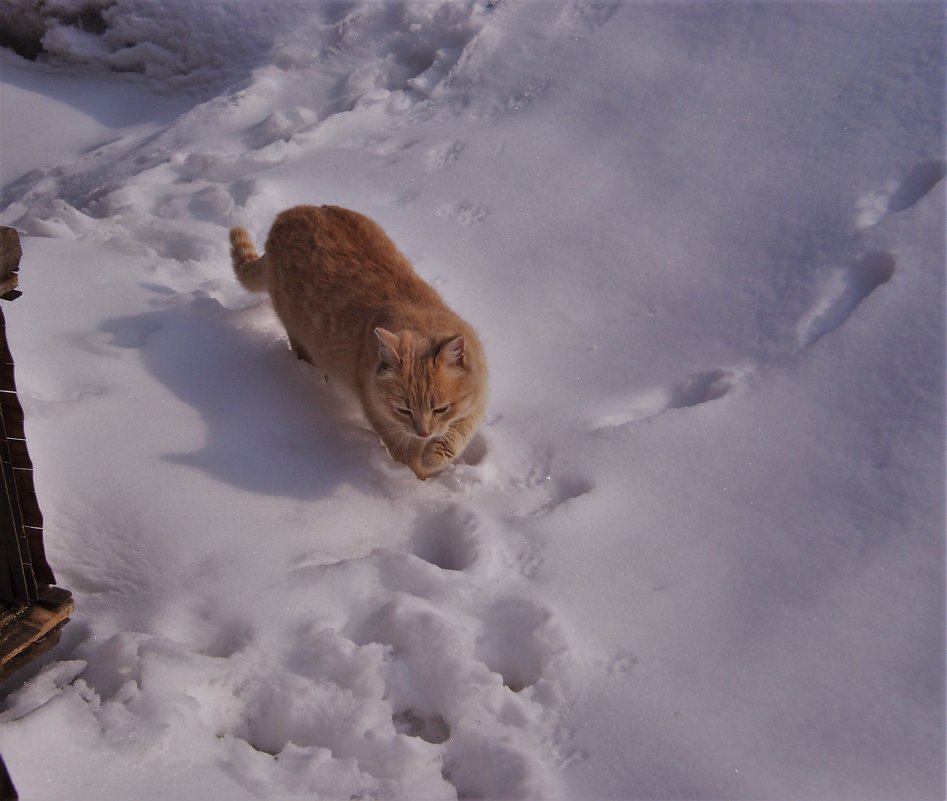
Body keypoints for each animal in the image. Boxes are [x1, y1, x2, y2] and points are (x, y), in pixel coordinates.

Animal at [230, 206, 488, 482]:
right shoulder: (384, 418)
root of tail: (287, 215)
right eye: (404, 410)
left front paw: (436, 455)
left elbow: (459, 431)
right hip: (295, 328)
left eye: (440, 408)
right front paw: (420, 480)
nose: (424, 433)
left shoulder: (478, 394)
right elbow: (409, 459)